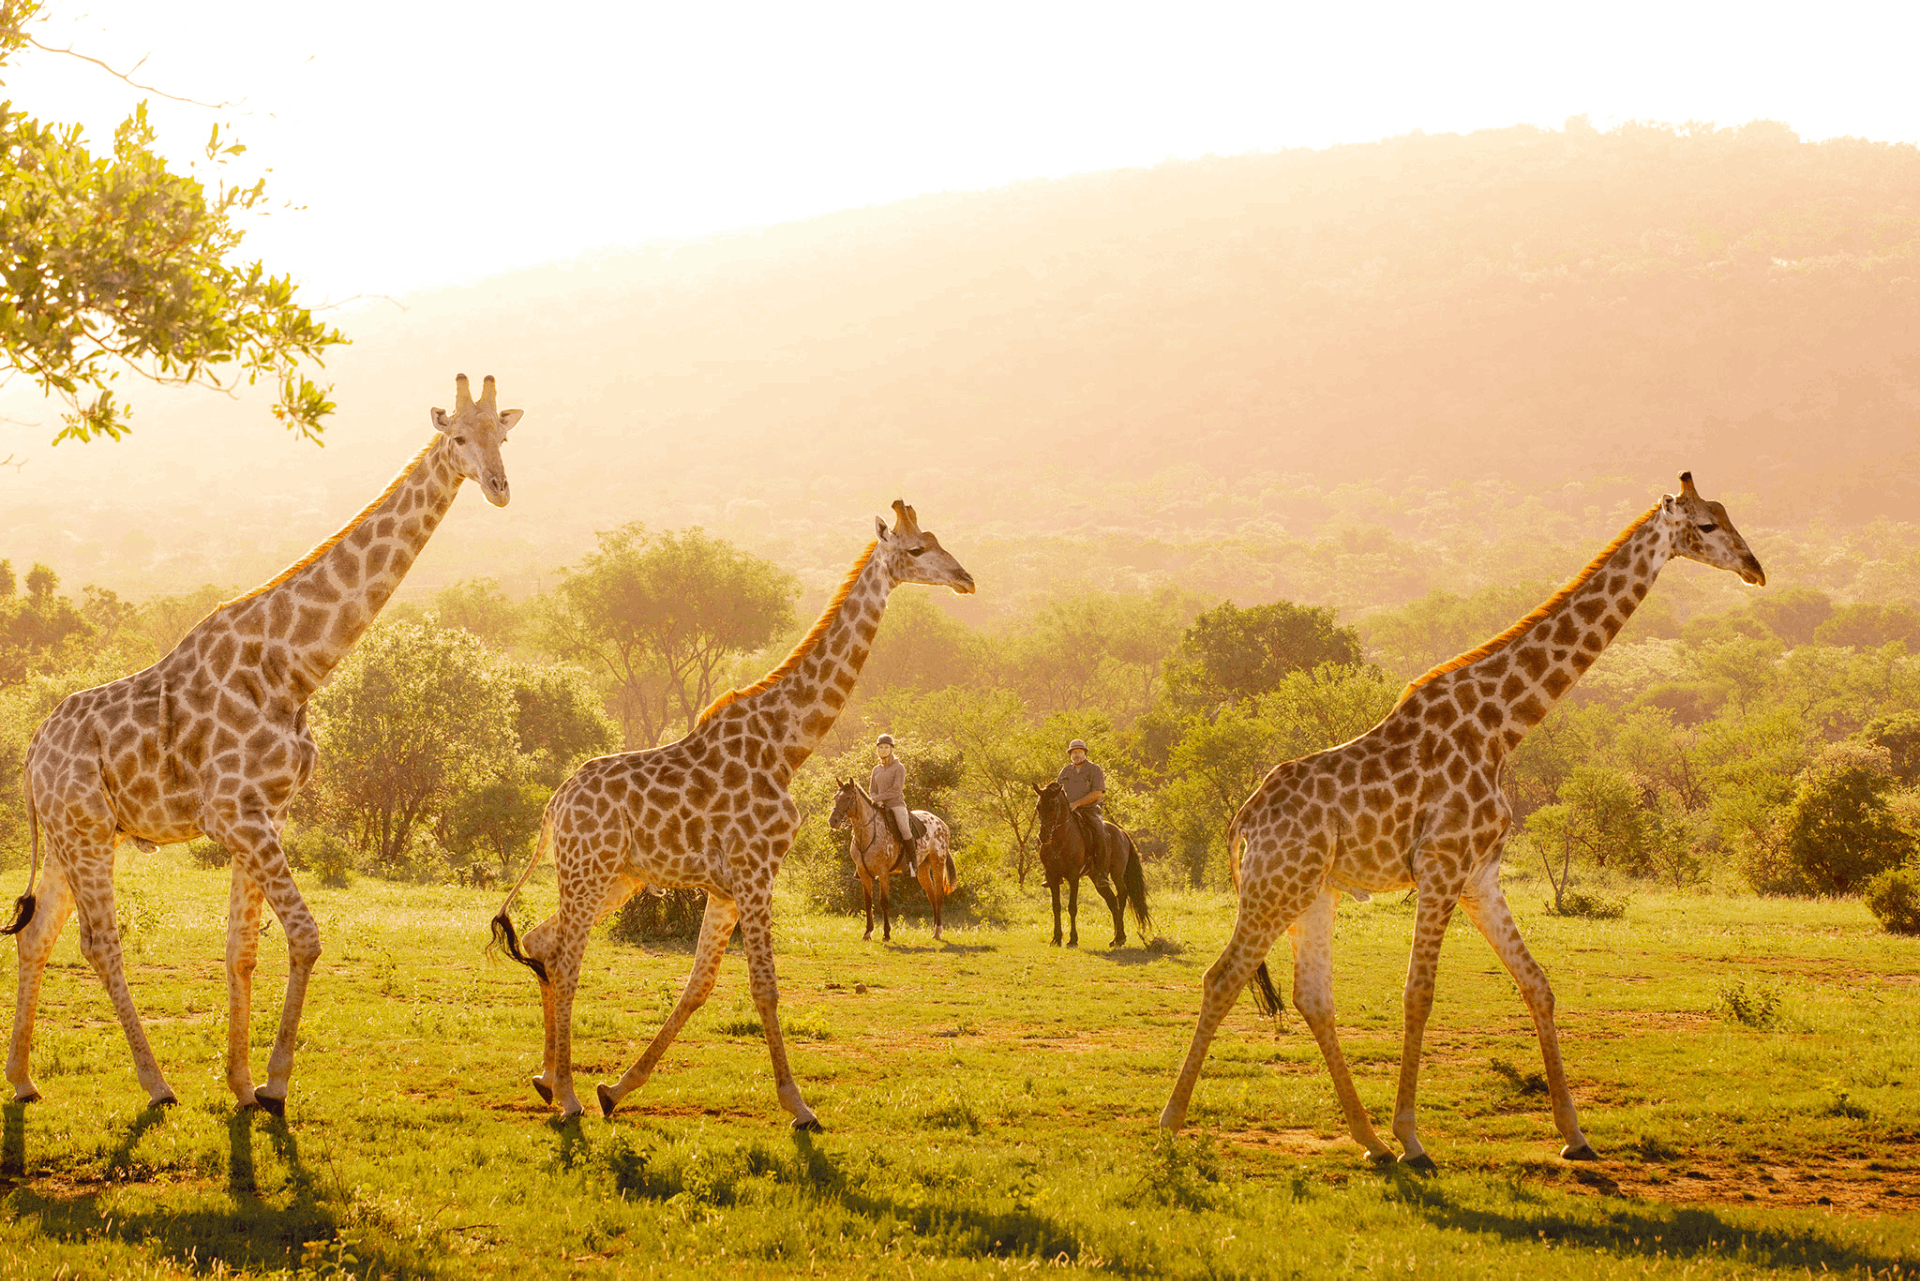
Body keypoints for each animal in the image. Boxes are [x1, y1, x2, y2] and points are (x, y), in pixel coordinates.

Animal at [828, 779, 957, 941]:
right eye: (835, 798)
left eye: (847, 798)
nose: (832, 821)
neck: (868, 833)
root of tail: (941, 824)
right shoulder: (863, 873)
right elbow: (868, 902)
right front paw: (867, 933)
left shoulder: (883, 873)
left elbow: (883, 902)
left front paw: (886, 933)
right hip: (922, 870)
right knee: (932, 896)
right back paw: (934, 931)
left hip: (937, 864)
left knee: (938, 896)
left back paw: (938, 931)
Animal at [1032, 781, 1152, 947]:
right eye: (1038, 806)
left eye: (1054, 806)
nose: (1043, 836)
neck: (1061, 839)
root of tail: (1122, 833)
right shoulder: (1052, 876)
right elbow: (1056, 907)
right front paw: (1056, 939)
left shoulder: (1073, 876)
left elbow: (1072, 907)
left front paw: (1073, 940)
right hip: (1097, 879)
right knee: (1112, 901)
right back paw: (1116, 938)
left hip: (1117, 874)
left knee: (1121, 896)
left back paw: (1120, 937)